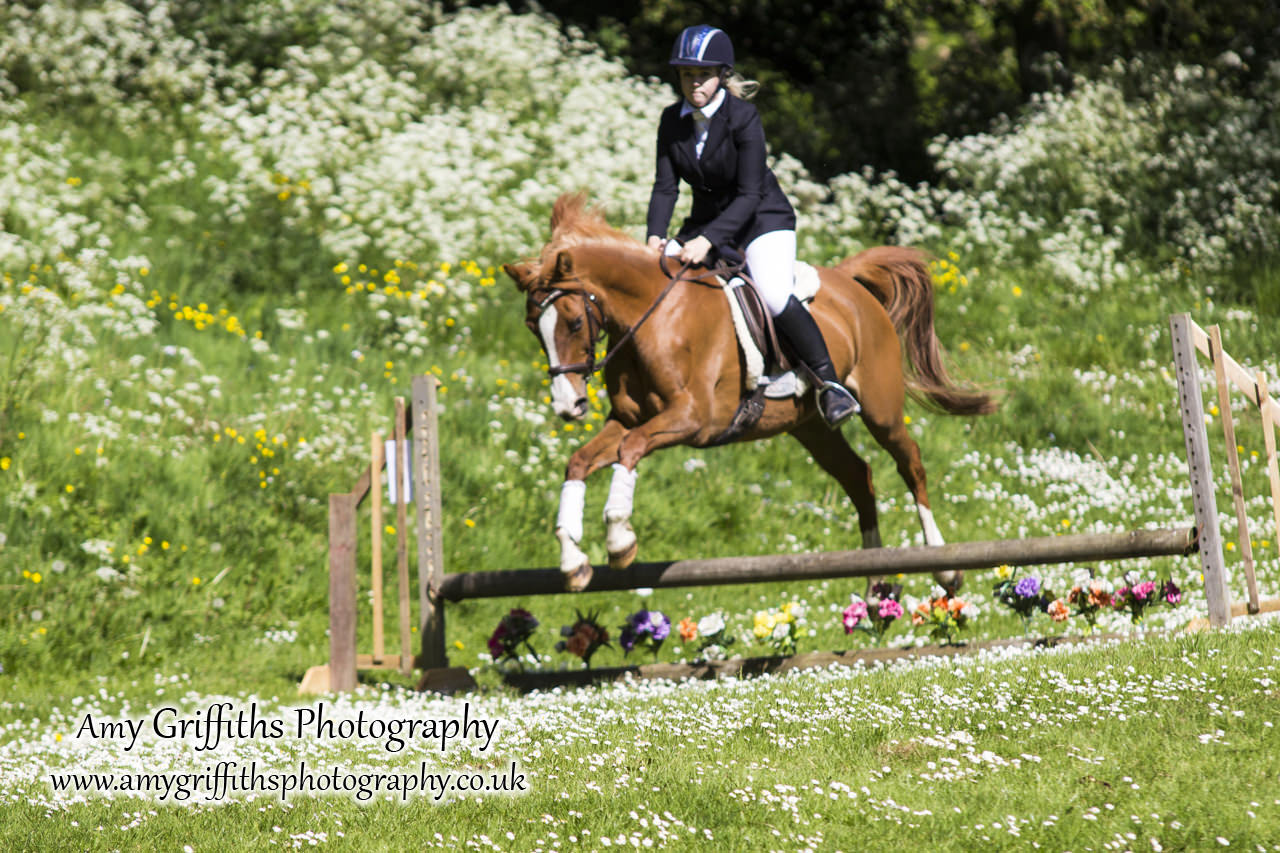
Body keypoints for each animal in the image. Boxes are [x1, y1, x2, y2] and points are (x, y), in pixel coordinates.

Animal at [501, 193, 998, 591]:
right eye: (531, 326)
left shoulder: (695, 420)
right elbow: (580, 461)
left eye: (573, 322)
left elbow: (631, 449)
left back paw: (943, 566)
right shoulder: (627, 419)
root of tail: (848, 281)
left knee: (909, 462)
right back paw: (875, 584)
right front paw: (574, 561)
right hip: (810, 427)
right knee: (859, 477)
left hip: (881, 409)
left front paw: (620, 539)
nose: (569, 406)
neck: (652, 319)